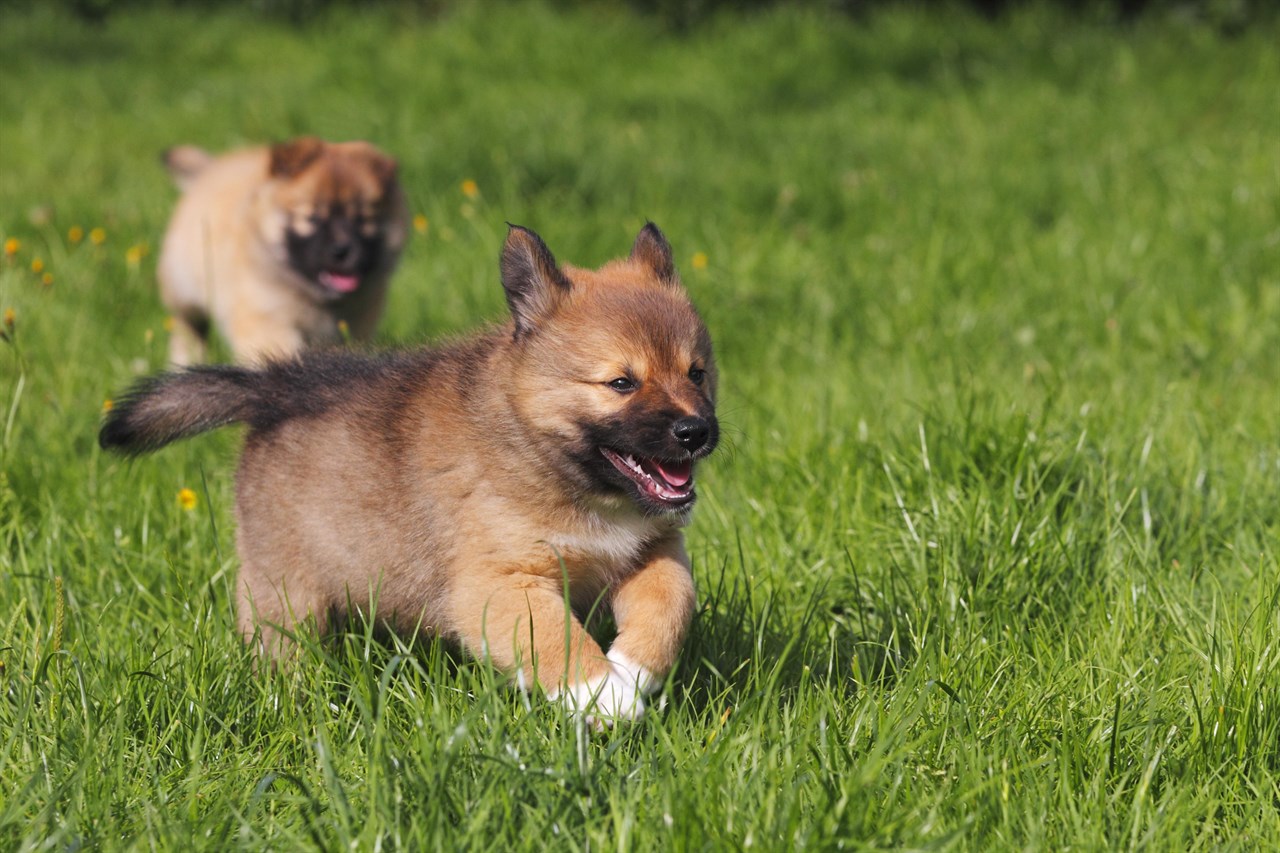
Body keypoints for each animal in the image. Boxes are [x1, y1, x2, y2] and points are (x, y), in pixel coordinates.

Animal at [101, 222, 721, 722]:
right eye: (621, 383)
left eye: (696, 373)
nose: (696, 432)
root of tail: (276, 388)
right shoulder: (497, 583)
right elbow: (554, 638)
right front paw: (600, 693)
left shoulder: (652, 550)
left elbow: (671, 604)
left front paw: (632, 671)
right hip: (284, 587)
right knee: (282, 649)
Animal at [158, 136, 409, 366]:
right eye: (312, 218)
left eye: (362, 220)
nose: (341, 250)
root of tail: (210, 169)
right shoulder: (267, 317)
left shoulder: (357, 325)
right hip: (185, 291)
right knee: (188, 329)